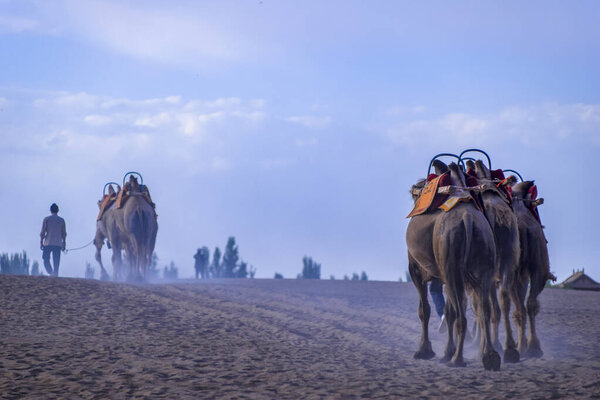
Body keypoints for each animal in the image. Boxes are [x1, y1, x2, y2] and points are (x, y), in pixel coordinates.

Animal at [408, 162, 502, 372]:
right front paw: (445, 352)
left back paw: (457, 359)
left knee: (462, 317)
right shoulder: (445, 274)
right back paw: (490, 356)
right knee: (484, 311)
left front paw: (424, 351)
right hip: (484, 266)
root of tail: (468, 219)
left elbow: (424, 310)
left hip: (452, 263)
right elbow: (449, 311)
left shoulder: (416, 270)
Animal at [466, 159, 524, 362]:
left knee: (491, 305)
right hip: (506, 261)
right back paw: (510, 348)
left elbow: (486, 308)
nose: (475, 161)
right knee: (503, 299)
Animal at [506, 178, 556, 356]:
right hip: (537, 268)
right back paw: (532, 347)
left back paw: (523, 347)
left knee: (521, 308)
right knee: (530, 304)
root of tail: (522, 227)